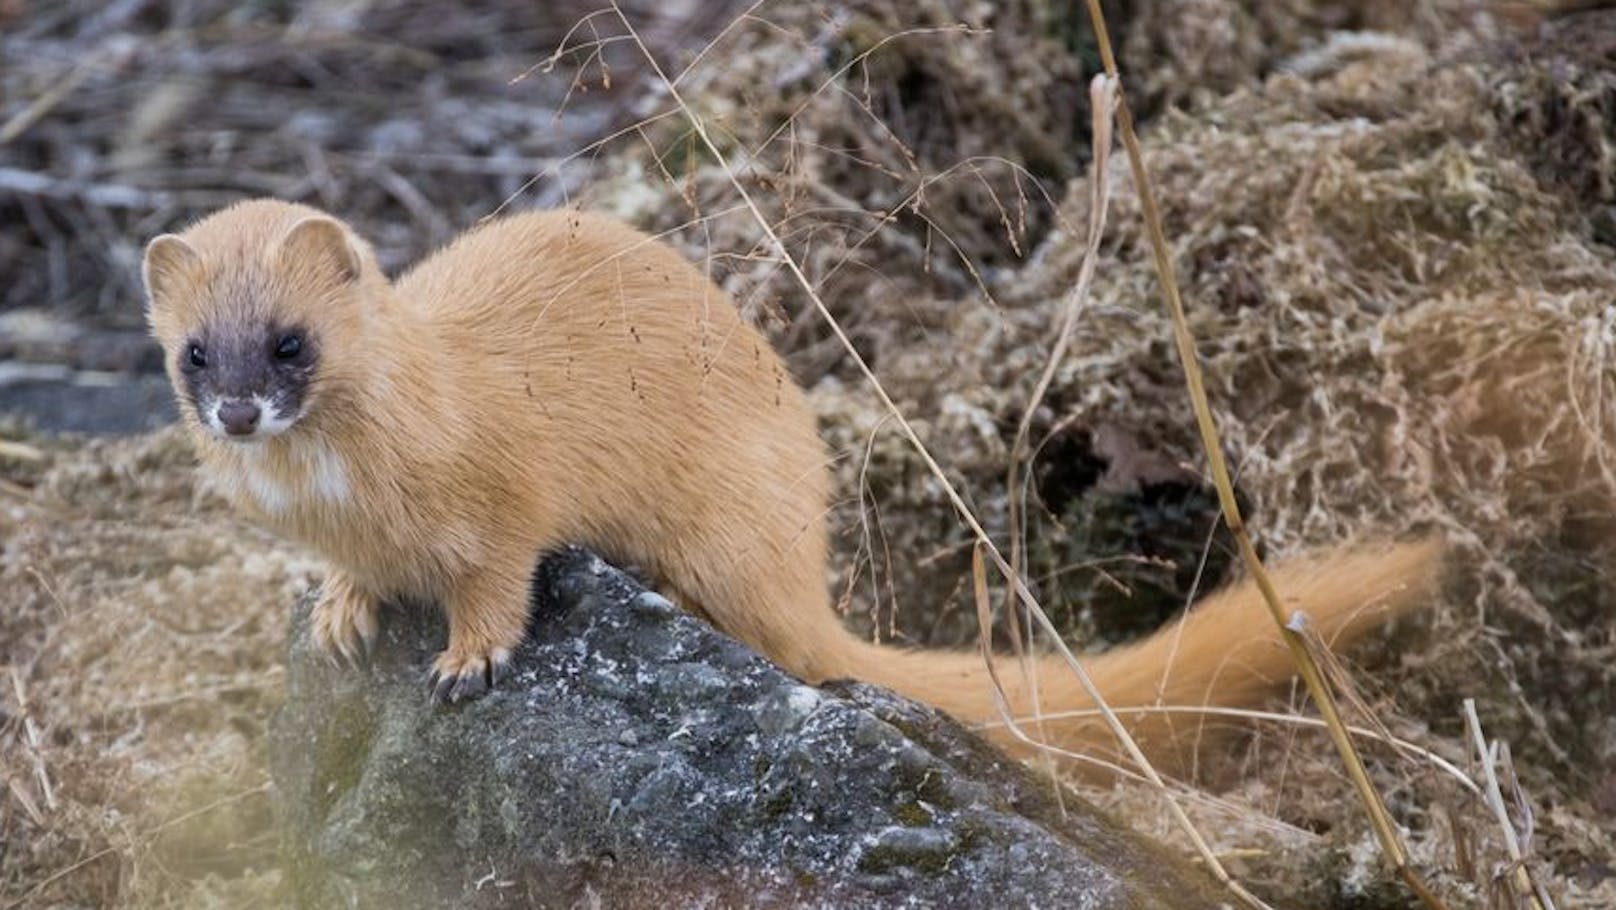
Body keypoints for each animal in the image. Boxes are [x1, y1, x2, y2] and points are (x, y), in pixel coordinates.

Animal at [148, 199, 1441, 769]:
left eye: (291, 341)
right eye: (195, 351)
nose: (238, 409)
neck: (342, 495)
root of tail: (803, 556)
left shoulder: (504, 492)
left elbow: (503, 573)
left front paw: (468, 655)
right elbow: (354, 578)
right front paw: (340, 609)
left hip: (732, 515)